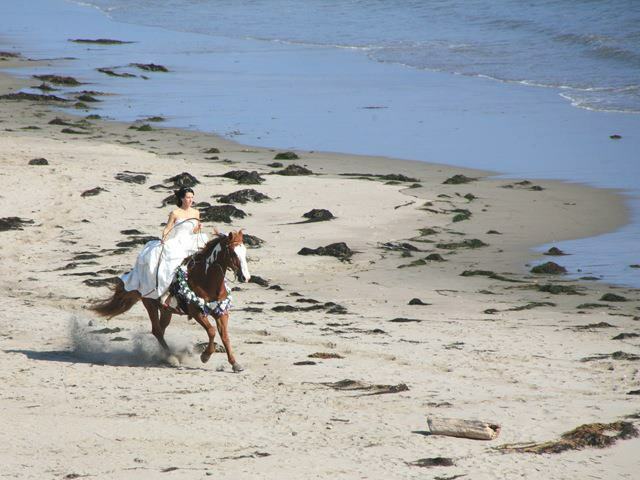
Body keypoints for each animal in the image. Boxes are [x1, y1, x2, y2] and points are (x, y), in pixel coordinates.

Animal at [90, 230, 250, 372]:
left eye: (244, 252)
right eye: (233, 253)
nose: (245, 277)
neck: (206, 279)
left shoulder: (221, 312)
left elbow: (225, 337)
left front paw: (235, 364)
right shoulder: (197, 312)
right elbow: (211, 331)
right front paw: (205, 356)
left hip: (166, 310)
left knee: (160, 330)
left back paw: (165, 356)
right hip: (150, 305)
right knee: (157, 330)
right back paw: (171, 357)